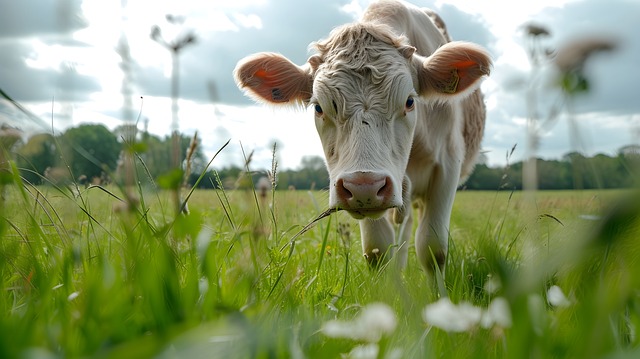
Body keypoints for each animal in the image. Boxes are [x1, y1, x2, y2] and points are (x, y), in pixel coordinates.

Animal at [234, 0, 490, 276]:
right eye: (319, 107)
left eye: (410, 101)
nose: (364, 186)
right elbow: (379, 250)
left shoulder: (448, 166)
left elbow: (433, 249)